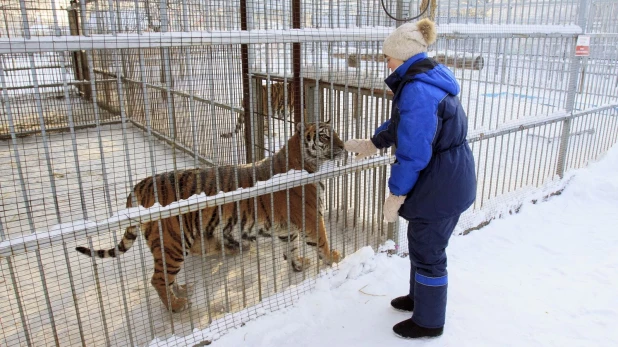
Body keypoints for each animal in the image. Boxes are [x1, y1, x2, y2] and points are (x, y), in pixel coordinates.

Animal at [75, 121, 344, 312]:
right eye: (324, 136)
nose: (342, 147)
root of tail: (140, 185)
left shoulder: (287, 227)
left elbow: (292, 247)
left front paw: (298, 264)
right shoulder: (311, 217)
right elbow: (322, 241)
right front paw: (333, 258)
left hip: (171, 245)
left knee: (167, 276)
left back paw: (182, 289)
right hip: (173, 242)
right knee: (157, 279)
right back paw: (177, 306)